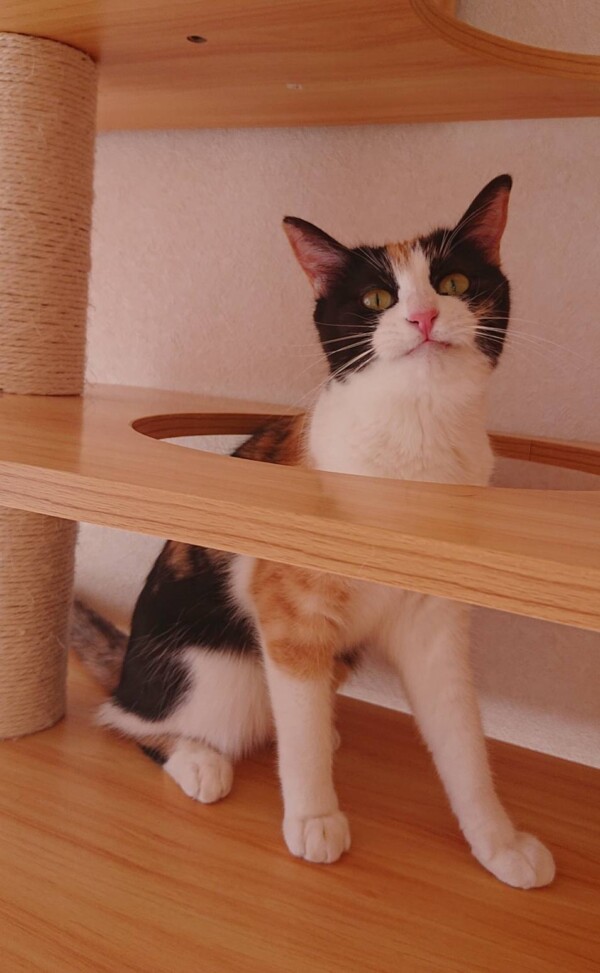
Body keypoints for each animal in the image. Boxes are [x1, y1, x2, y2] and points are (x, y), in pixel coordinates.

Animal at [73, 174, 555, 889]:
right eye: (379, 298)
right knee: (129, 719)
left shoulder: (434, 623)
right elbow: (297, 734)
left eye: (454, 282)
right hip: (218, 675)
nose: (423, 318)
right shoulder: (289, 613)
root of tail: (129, 663)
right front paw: (313, 818)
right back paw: (197, 759)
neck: (415, 454)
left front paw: (498, 841)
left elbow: (462, 736)